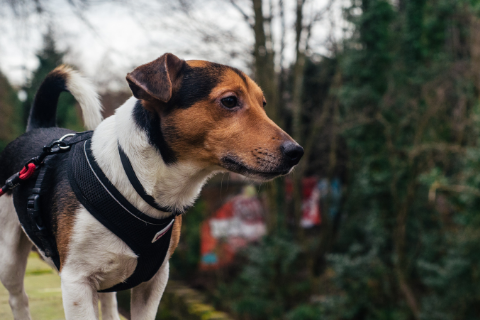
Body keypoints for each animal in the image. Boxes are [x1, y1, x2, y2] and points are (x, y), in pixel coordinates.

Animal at [0, 53, 304, 320]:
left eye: (263, 103)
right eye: (230, 101)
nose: (296, 152)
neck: (137, 181)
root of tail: (38, 129)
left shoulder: (154, 281)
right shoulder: (76, 283)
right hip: (10, 259)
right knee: (19, 299)